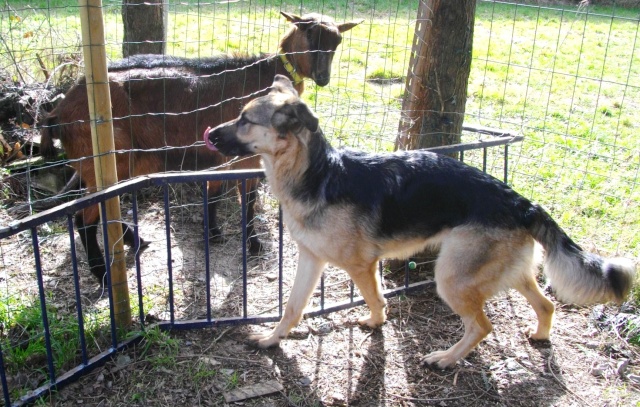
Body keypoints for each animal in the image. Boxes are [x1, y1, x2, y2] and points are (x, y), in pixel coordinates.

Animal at [40, 11, 362, 282]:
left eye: (337, 42)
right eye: (309, 34)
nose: (323, 78)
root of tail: (58, 111)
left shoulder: (226, 158)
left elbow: (222, 195)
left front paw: (221, 235)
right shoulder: (241, 160)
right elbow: (240, 200)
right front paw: (245, 241)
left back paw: (136, 242)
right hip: (108, 162)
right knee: (83, 218)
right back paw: (103, 274)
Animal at [205, 75, 636, 368]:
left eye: (245, 119)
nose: (209, 134)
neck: (318, 174)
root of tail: (521, 201)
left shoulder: (361, 265)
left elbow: (376, 297)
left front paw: (377, 323)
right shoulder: (312, 260)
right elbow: (292, 307)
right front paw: (272, 340)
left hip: (452, 277)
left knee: (483, 327)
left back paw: (446, 358)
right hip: (507, 272)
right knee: (546, 305)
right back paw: (540, 336)